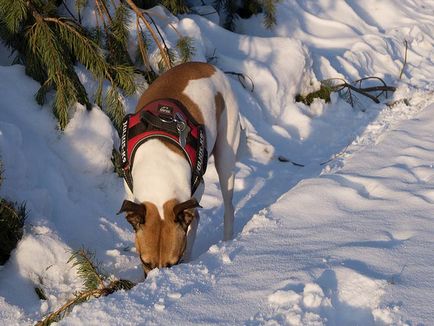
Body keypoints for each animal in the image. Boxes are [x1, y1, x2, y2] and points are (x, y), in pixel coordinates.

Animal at [118, 61, 241, 276]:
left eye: (173, 263)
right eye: (145, 262)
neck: (158, 176)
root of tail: (207, 65)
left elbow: (193, 225)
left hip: (226, 153)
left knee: (228, 205)